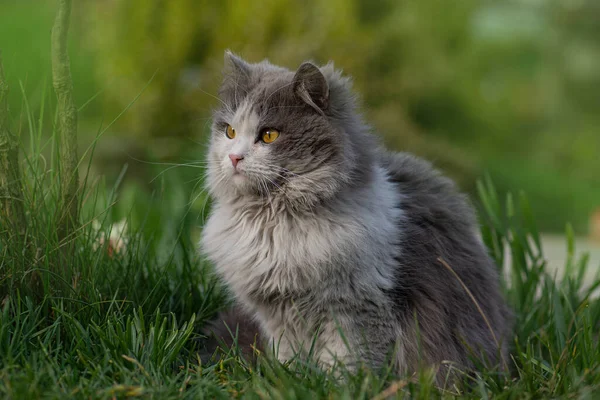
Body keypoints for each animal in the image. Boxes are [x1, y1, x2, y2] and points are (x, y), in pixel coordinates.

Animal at [200, 50, 510, 382]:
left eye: (269, 135)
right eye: (230, 131)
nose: (234, 157)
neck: (276, 222)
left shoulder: (359, 310)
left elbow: (348, 363)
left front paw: (336, 386)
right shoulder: (277, 315)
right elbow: (289, 358)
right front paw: (289, 381)